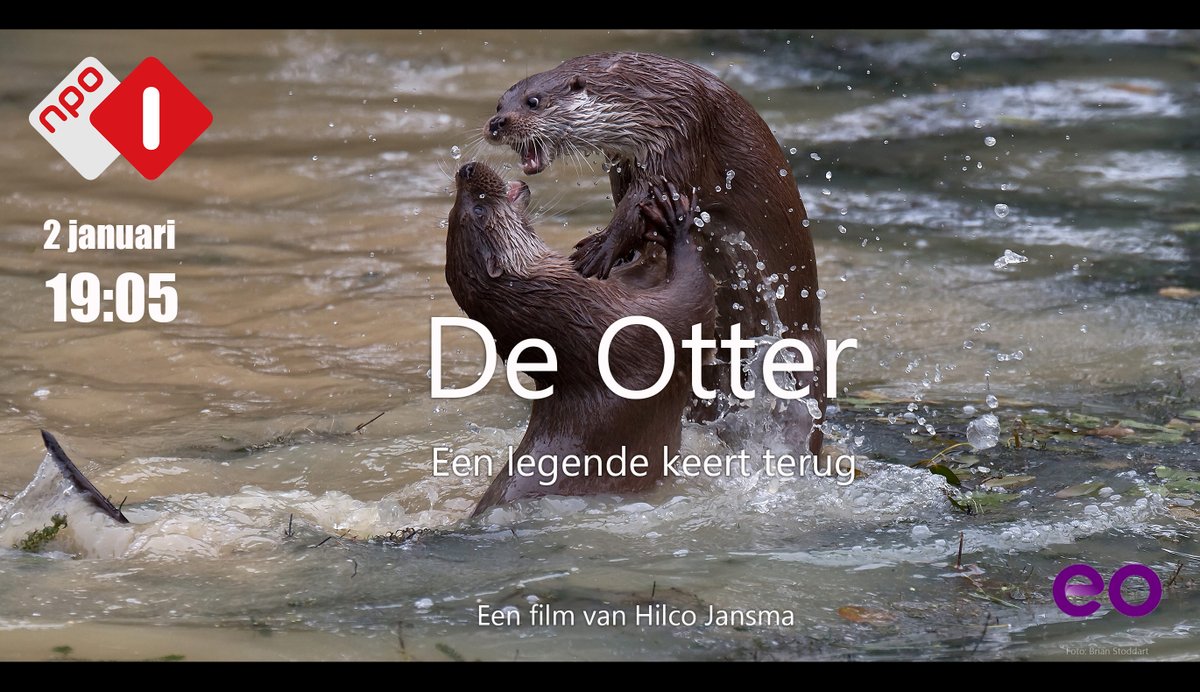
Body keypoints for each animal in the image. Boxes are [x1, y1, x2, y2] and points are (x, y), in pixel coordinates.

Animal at [445, 162, 715, 516]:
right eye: (478, 209)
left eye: (453, 209)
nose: (466, 168)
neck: (577, 313)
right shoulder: (644, 326)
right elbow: (693, 298)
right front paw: (675, 221)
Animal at [484, 52, 826, 454]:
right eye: (499, 104)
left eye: (533, 101)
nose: (496, 124)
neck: (651, 98)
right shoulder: (624, 159)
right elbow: (629, 203)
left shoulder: (680, 135)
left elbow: (638, 206)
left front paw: (599, 250)